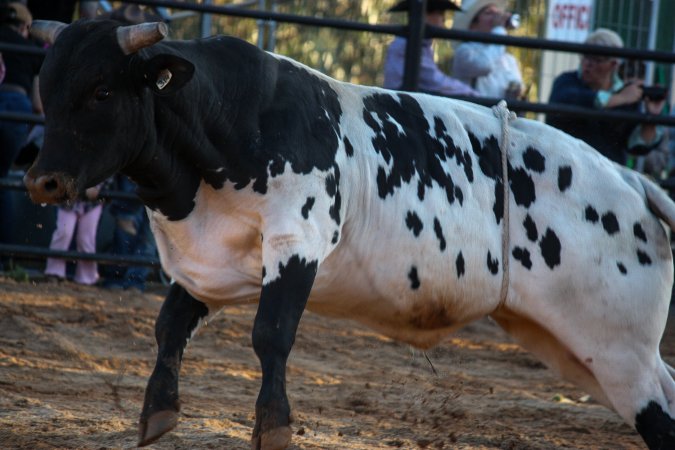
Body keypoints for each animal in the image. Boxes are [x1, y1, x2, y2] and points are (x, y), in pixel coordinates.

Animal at [23, 18, 675, 450]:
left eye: (101, 90)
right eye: (44, 90)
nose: (42, 180)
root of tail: (632, 181)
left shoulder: (297, 245)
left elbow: (270, 336)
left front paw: (274, 426)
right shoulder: (210, 264)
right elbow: (169, 327)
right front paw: (157, 413)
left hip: (617, 346)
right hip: (571, 344)